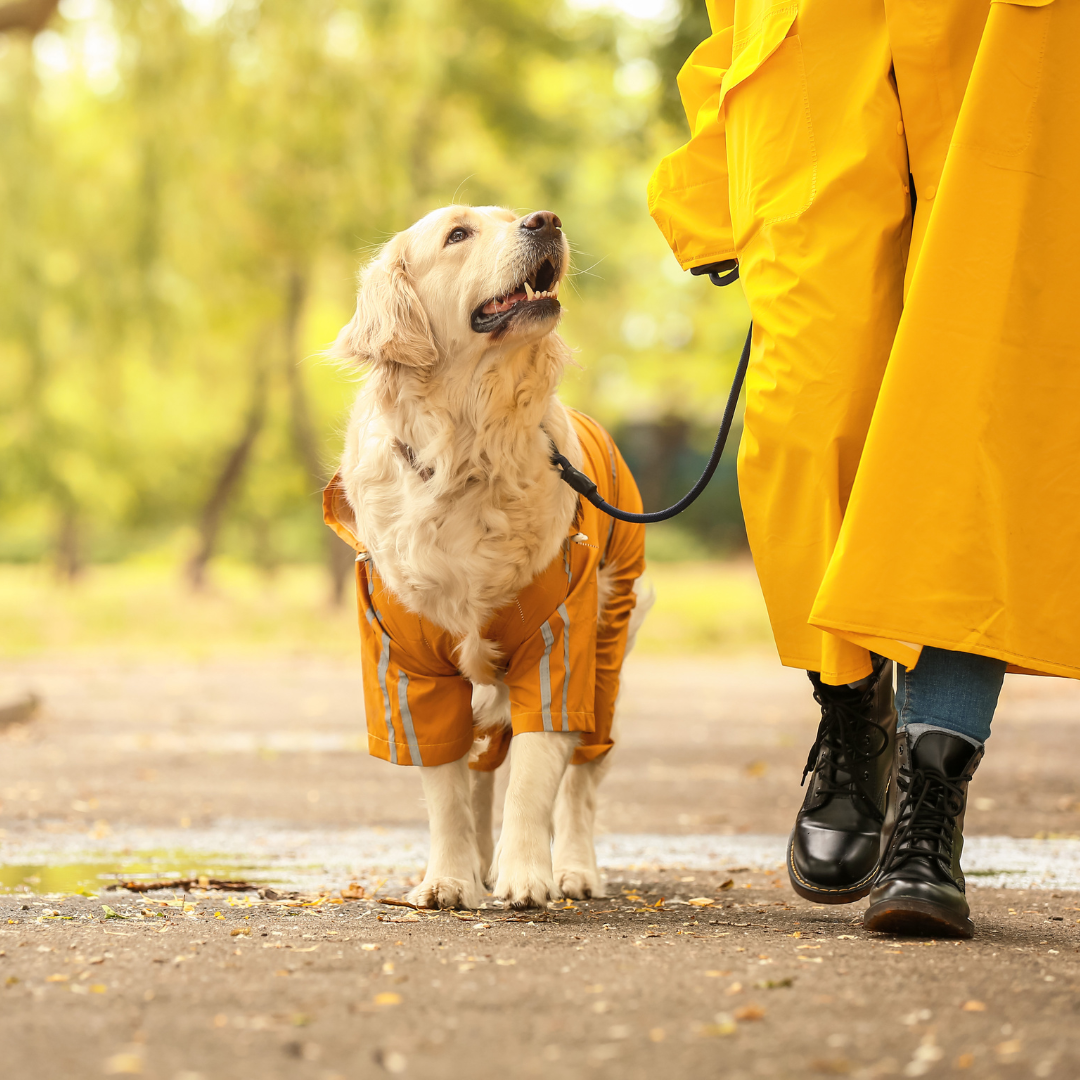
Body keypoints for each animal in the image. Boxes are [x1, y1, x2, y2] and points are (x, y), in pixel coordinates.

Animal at [328, 206, 648, 907]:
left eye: (512, 215)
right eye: (457, 235)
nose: (546, 219)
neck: (467, 451)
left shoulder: (558, 642)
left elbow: (533, 777)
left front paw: (526, 875)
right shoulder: (408, 664)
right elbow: (446, 790)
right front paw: (450, 879)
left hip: (608, 653)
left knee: (581, 780)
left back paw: (574, 869)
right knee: (478, 772)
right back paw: (477, 864)